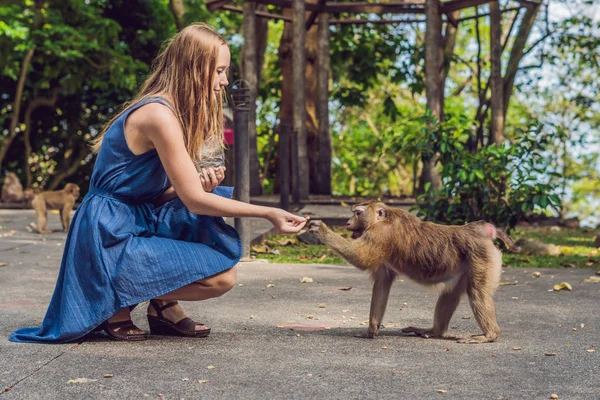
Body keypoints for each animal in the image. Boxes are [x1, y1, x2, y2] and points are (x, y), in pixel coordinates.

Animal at [310, 202, 520, 346]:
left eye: (357, 213)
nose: (347, 223)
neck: (384, 218)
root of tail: (480, 228)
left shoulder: (380, 234)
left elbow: (361, 259)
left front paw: (322, 230)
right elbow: (382, 285)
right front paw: (371, 330)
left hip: (481, 258)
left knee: (477, 293)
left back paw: (490, 335)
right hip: (466, 265)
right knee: (450, 294)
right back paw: (435, 331)